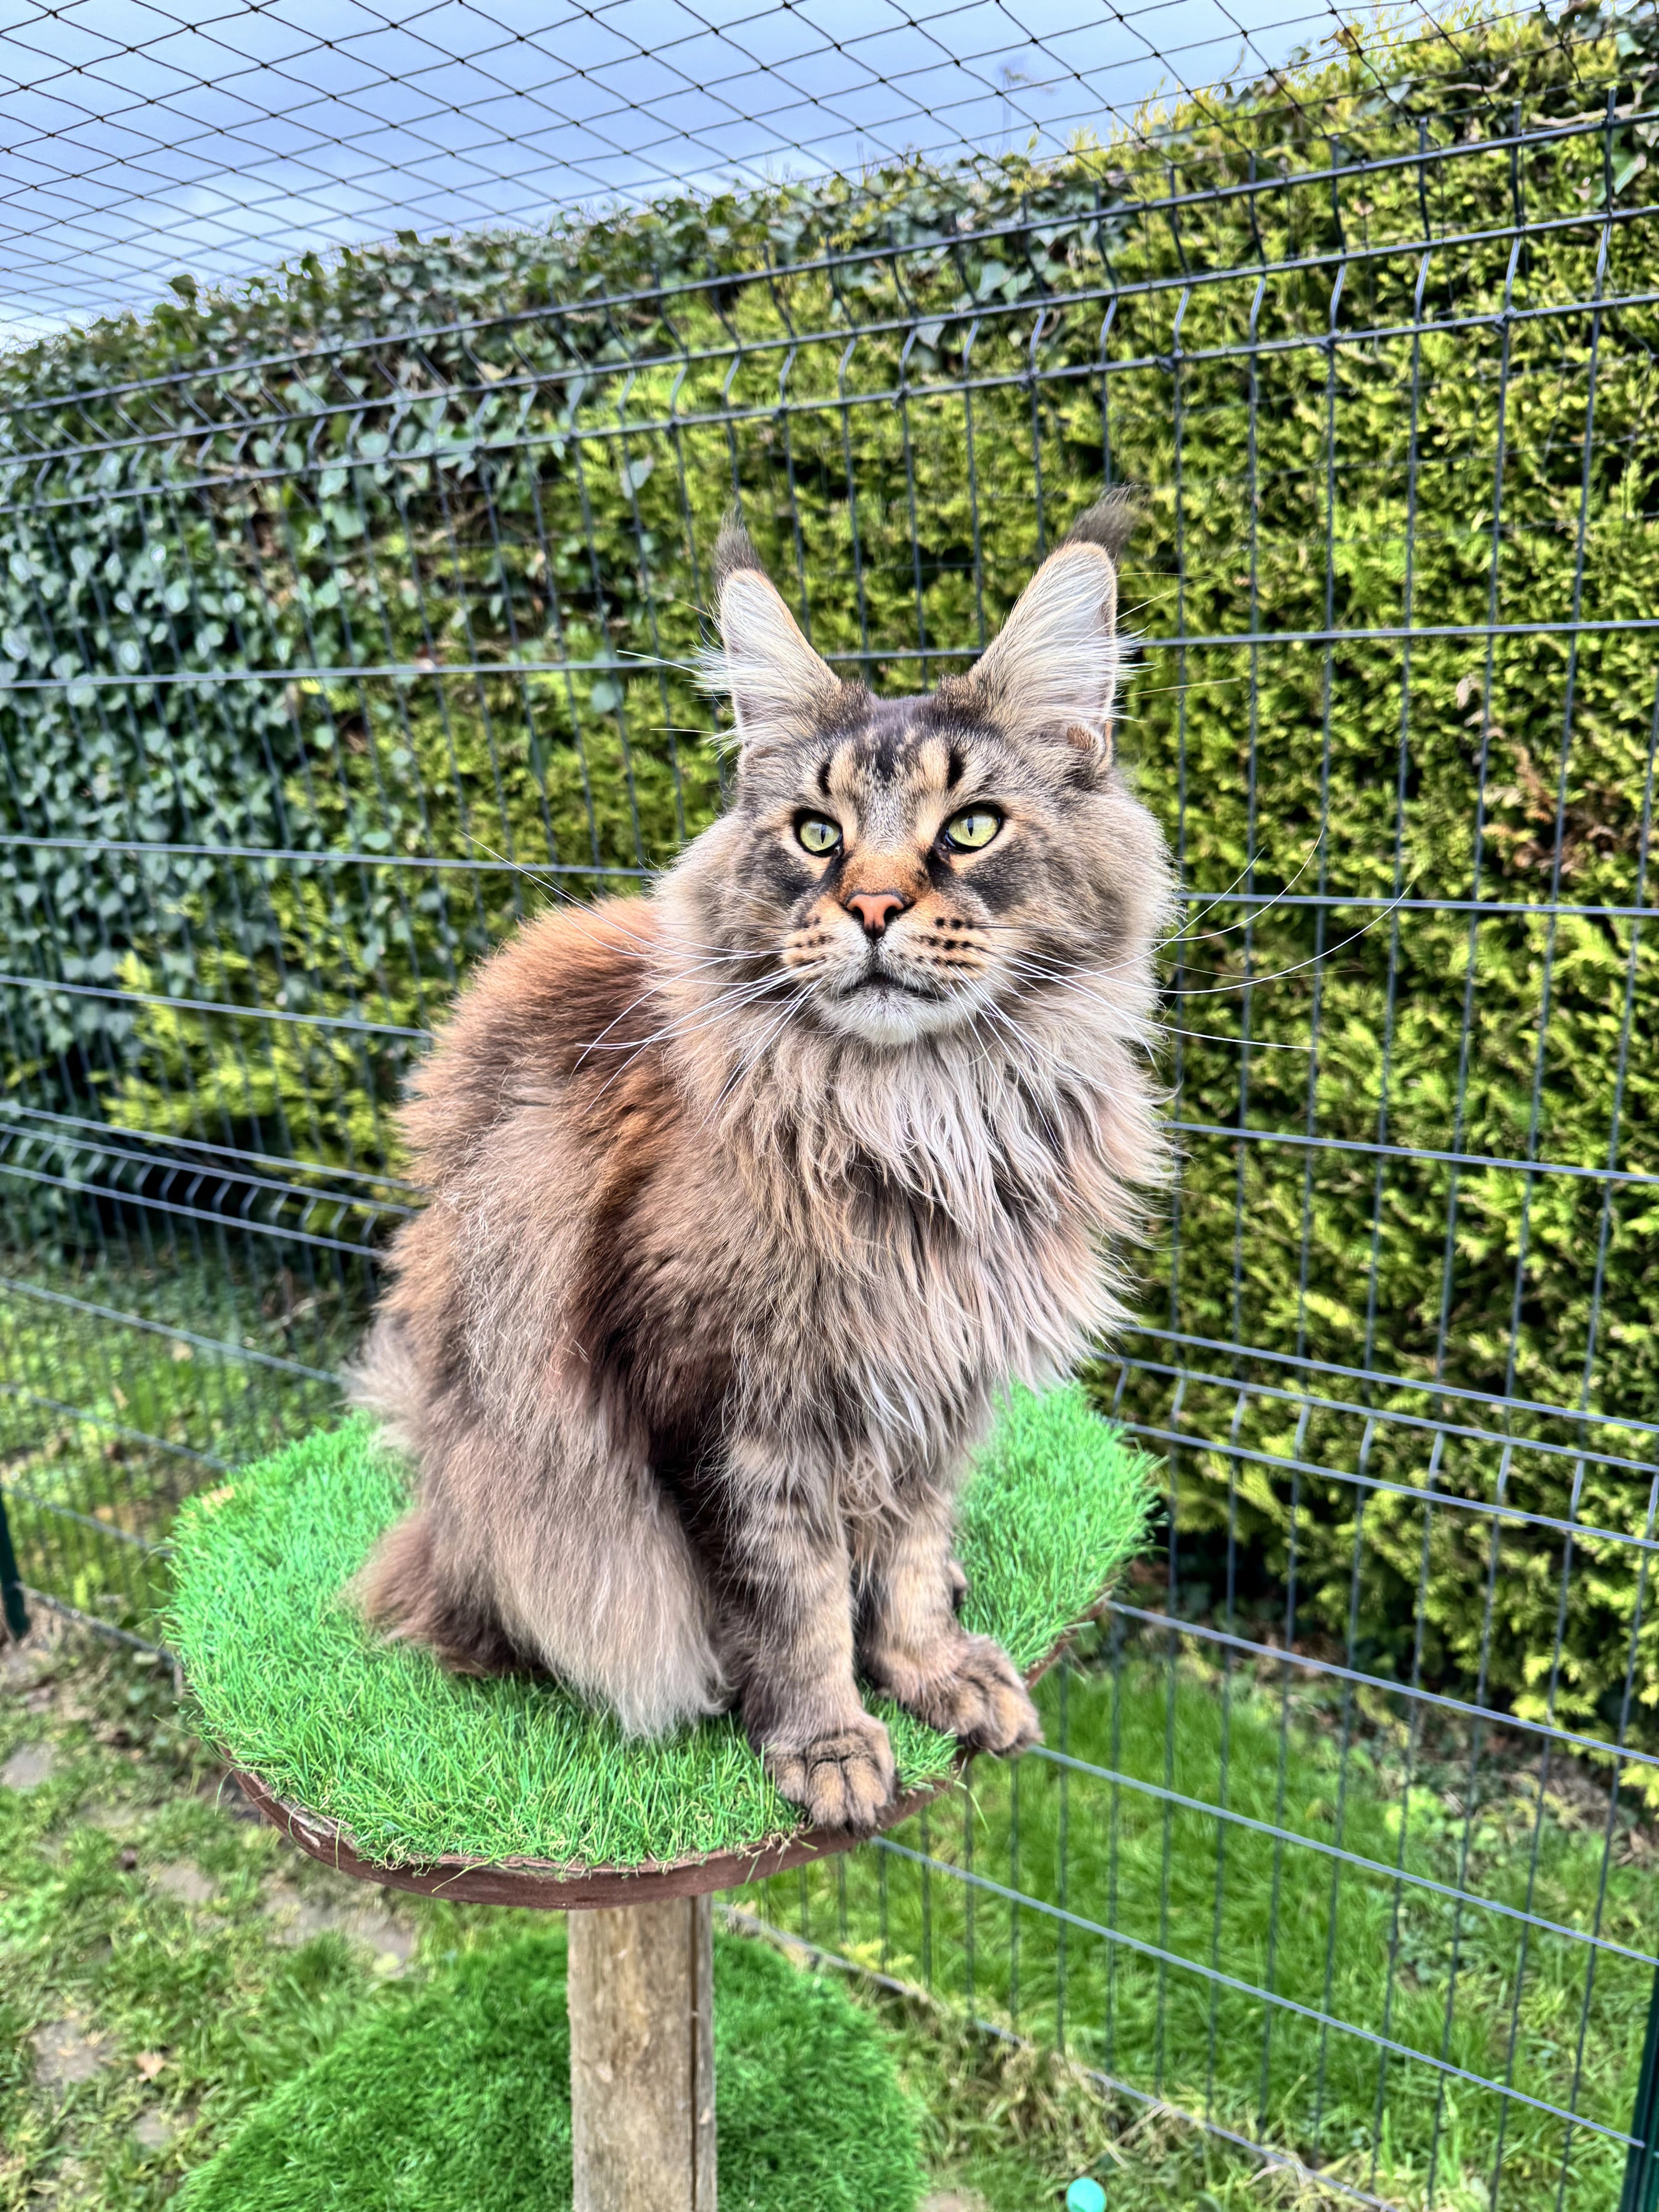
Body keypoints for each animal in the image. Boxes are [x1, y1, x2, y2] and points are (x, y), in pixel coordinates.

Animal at [356, 502, 1176, 1831]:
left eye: (971, 827)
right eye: (817, 834)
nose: (876, 907)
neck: (918, 1121)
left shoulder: (938, 1389)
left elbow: (904, 1556)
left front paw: (932, 1671)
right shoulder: (728, 1407)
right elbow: (789, 1598)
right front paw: (827, 1741)